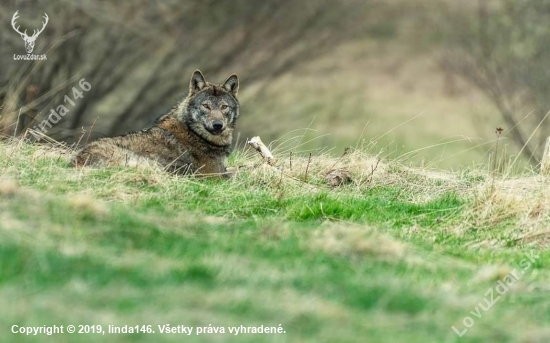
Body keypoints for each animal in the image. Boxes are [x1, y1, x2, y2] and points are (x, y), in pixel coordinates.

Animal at [70, 70, 239, 177]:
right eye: (206, 106)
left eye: (224, 107)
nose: (217, 125)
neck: (195, 133)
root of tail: (77, 162)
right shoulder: (213, 176)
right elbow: (235, 175)